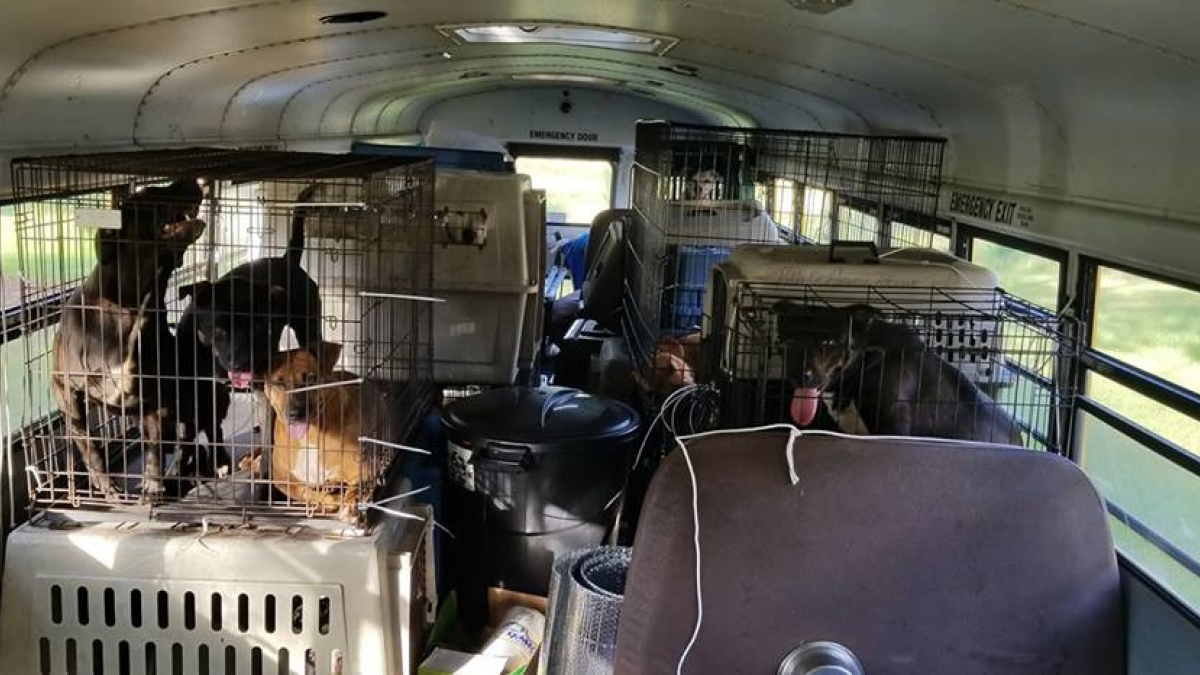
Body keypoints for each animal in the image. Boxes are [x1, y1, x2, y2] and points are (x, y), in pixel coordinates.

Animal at [50, 176, 206, 497]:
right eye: (150, 192)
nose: (191, 178)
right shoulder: (64, 389)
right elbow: (89, 443)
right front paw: (104, 483)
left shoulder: (155, 394)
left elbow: (154, 447)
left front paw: (153, 485)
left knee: (183, 442)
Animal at [265, 341, 367, 521]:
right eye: (278, 383)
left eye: (311, 379)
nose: (294, 414)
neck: (311, 435)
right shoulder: (281, 478)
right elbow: (305, 491)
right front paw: (332, 500)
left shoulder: (365, 469)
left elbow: (357, 488)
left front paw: (350, 505)